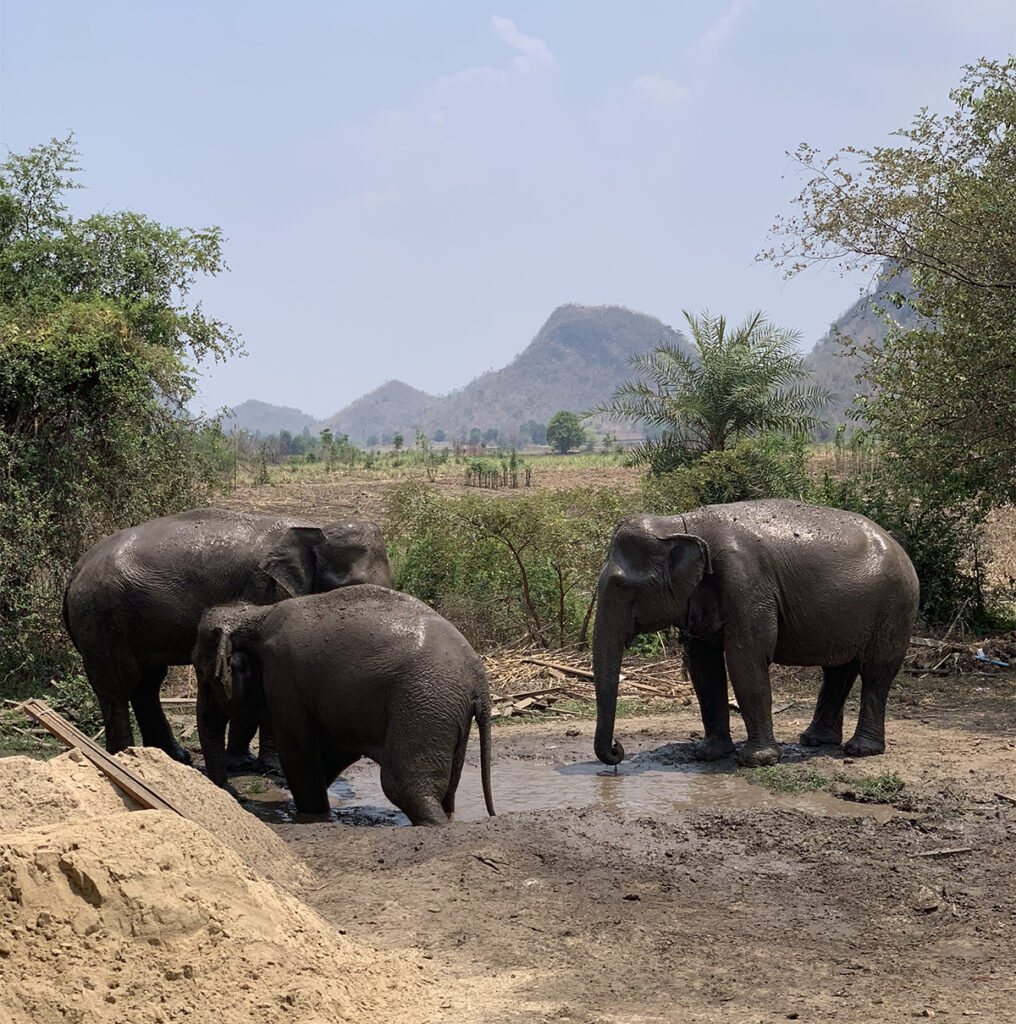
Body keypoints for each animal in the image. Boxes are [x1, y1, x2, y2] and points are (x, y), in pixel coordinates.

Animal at [60, 507, 393, 765]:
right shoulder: (265, 589)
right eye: (347, 589)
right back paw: (122, 757)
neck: (311, 526)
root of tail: (75, 571)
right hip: (102, 616)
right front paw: (269, 766)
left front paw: (245, 762)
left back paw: (173, 756)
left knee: (147, 682)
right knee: (118, 683)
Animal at [193, 585, 495, 823]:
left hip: (424, 703)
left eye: (203, 675)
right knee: (445, 791)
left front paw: (311, 815)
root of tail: (479, 679)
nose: (235, 795)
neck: (256, 615)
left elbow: (298, 751)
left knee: (402, 785)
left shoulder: (285, 679)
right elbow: (335, 751)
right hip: (447, 712)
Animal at [594, 495, 921, 770]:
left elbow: (746, 659)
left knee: (876, 671)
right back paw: (815, 741)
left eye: (622, 587)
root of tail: (899, 547)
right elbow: (704, 666)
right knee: (839, 670)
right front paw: (709, 753)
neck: (678, 524)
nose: (617, 749)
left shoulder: (746, 583)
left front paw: (757, 761)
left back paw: (861, 750)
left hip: (896, 607)